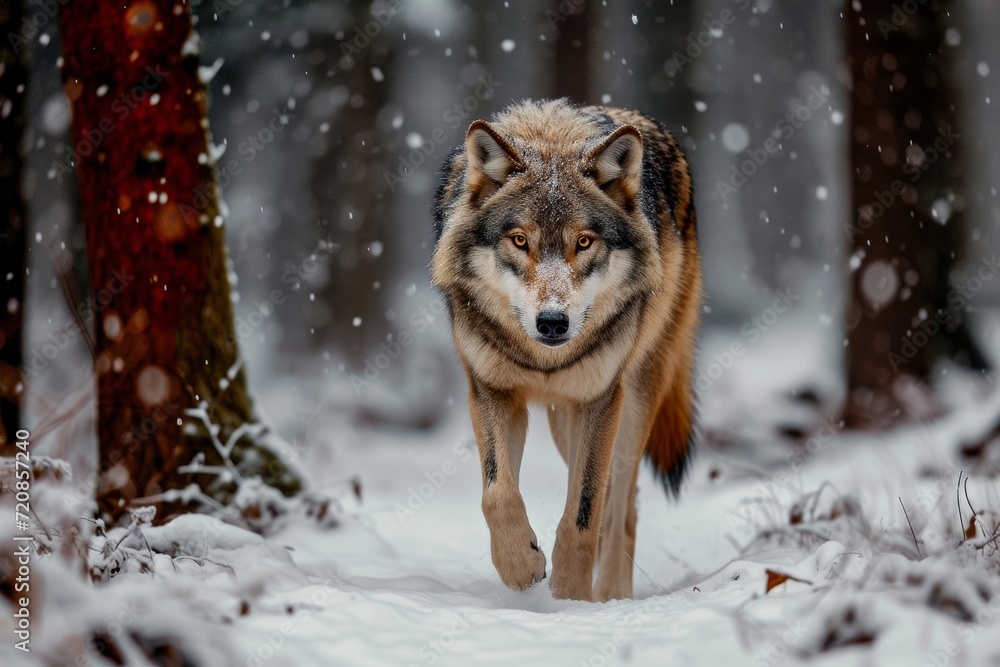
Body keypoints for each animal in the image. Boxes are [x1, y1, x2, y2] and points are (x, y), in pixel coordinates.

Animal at [431, 99, 701, 601]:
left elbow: (584, 512)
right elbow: (497, 494)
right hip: (563, 421)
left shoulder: (600, 399)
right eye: (520, 240)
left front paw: (573, 597)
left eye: (584, 241)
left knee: (620, 506)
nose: (553, 322)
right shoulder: (492, 392)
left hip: (632, 403)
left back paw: (611, 595)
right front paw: (521, 567)